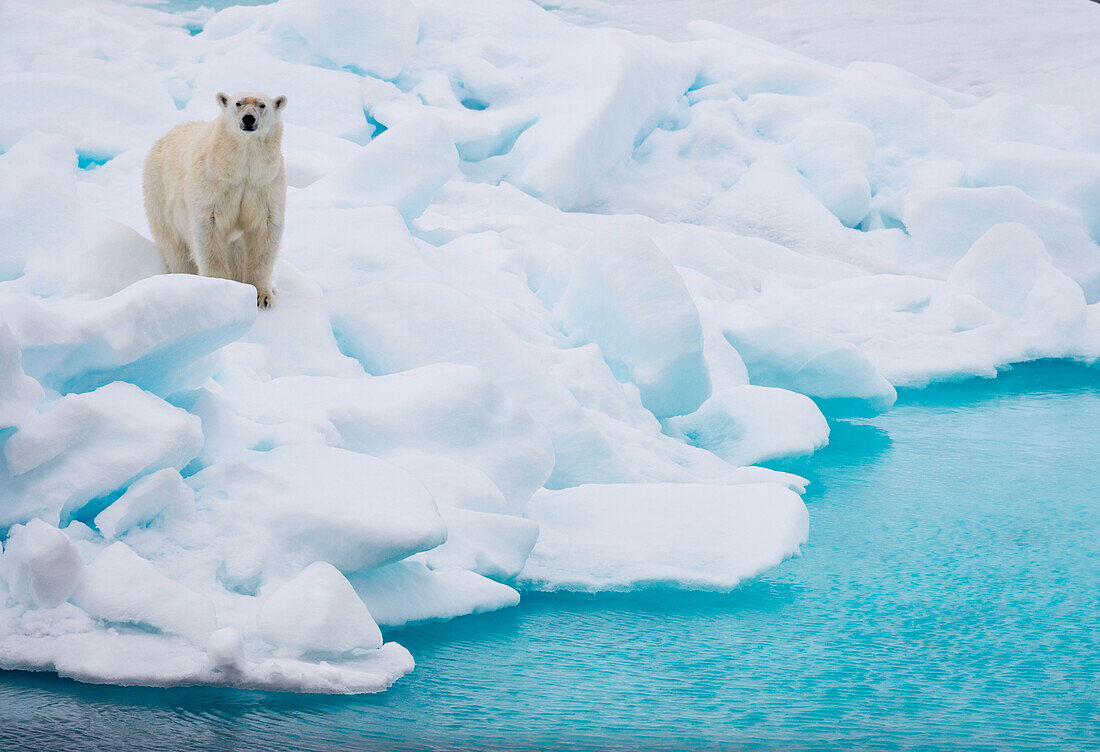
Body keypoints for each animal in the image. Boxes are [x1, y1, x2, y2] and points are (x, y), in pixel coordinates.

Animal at [143, 89, 288, 307]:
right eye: (238, 103)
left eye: (262, 105)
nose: (248, 118)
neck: (241, 168)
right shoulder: (212, 184)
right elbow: (209, 230)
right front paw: (219, 288)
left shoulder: (264, 184)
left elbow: (264, 230)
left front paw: (261, 296)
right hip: (159, 195)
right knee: (175, 247)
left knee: (237, 252)